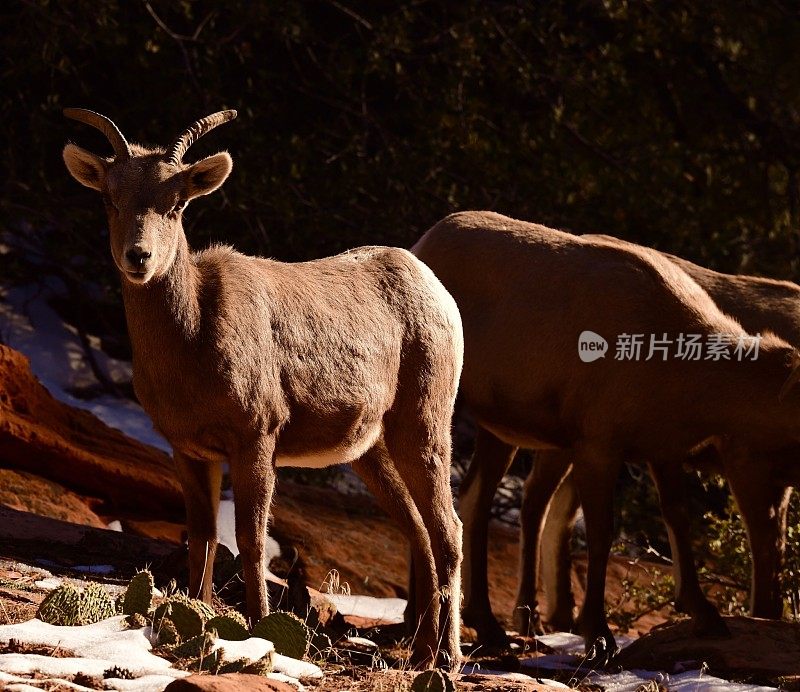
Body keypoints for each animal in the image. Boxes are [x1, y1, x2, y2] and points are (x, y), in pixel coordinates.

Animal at [65, 109, 466, 672]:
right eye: (110, 198)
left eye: (177, 203)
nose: (138, 257)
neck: (192, 344)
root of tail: (439, 293)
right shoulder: (187, 448)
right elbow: (203, 538)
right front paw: (200, 611)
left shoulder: (256, 436)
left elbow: (251, 540)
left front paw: (258, 626)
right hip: (370, 449)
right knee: (420, 532)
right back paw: (420, 651)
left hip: (425, 423)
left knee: (447, 530)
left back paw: (446, 657)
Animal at [416, 212, 800, 664]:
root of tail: (423, 243)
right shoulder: (600, 445)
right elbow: (601, 533)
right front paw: (598, 635)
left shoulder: (661, 451)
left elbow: (678, 521)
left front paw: (705, 614)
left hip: (500, 430)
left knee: (476, 500)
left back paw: (488, 627)